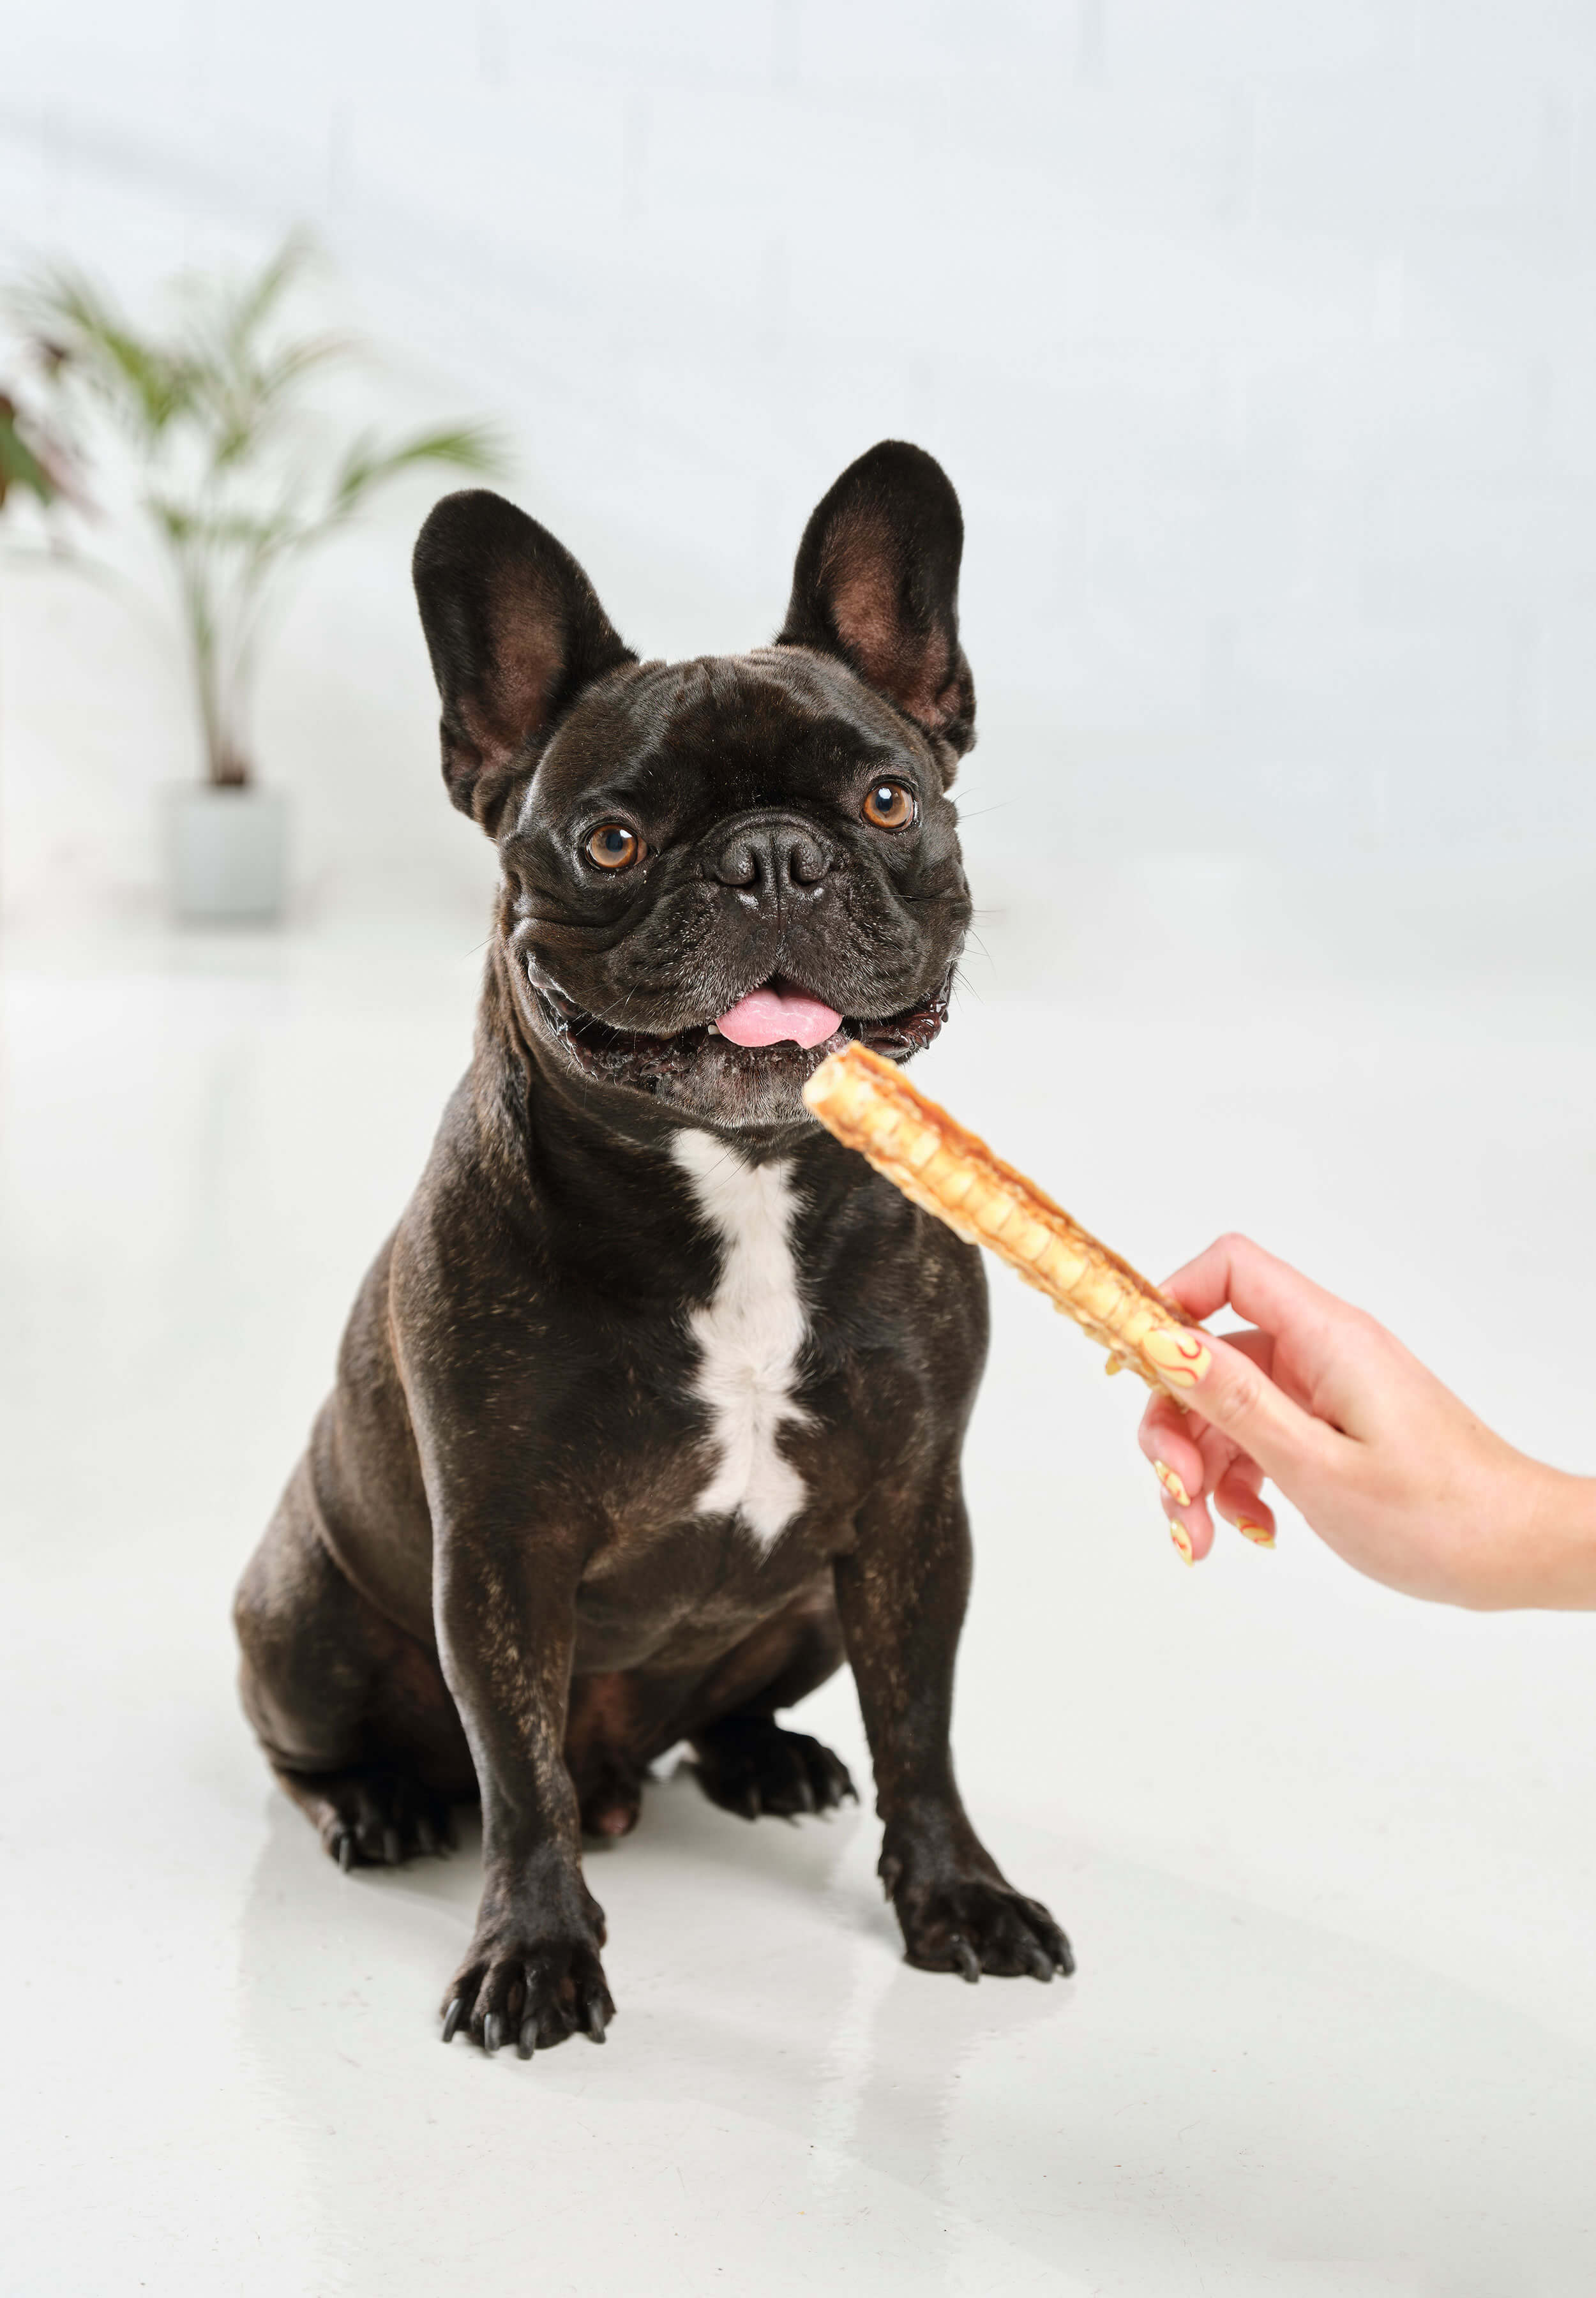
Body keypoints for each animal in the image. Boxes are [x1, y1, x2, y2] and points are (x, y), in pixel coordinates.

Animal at [234, 439, 1076, 2059]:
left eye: (888, 800)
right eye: (613, 840)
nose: (774, 858)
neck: (739, 1182)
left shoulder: (910, 1518)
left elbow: (921, 1729)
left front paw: (956, 1896)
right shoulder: (500, 1555)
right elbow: (517, 1777)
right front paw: (534, 1951)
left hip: (810, 1602)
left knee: (747, 1708)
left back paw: (765, 1761)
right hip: (299, 1612)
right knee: (330, 1750)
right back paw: (378, 1804)